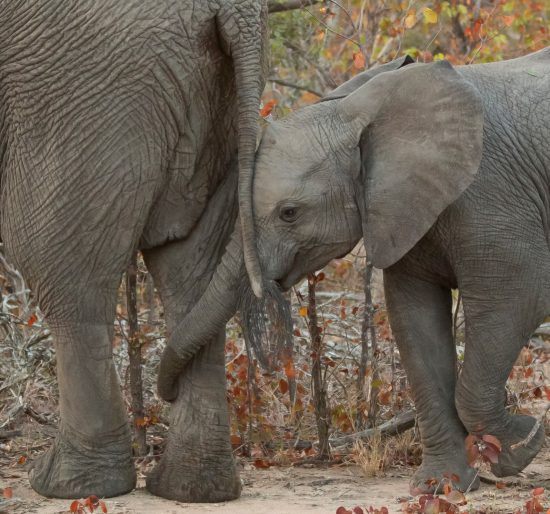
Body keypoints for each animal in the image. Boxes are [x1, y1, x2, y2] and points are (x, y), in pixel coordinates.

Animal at [0, 0, 268, 500]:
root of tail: (237, 10)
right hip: (214, 102)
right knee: (188, 270)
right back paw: (194, 489)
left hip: (82, 95)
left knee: (61, 277)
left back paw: (67, 485)